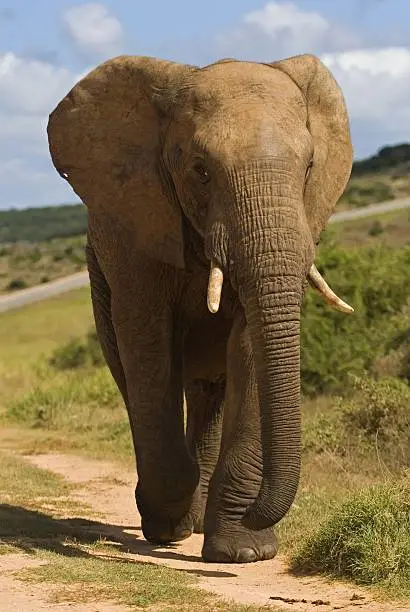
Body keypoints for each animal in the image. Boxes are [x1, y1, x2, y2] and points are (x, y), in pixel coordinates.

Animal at [46, 52, 354, 564]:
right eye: (200, 170)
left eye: (310, 165)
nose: (257, 511)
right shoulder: (137, 233)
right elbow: (148, 343)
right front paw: (168, 527)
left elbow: (249, 346)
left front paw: (244, 552)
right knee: (133, 380)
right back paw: (176, 520)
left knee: (210, 391)